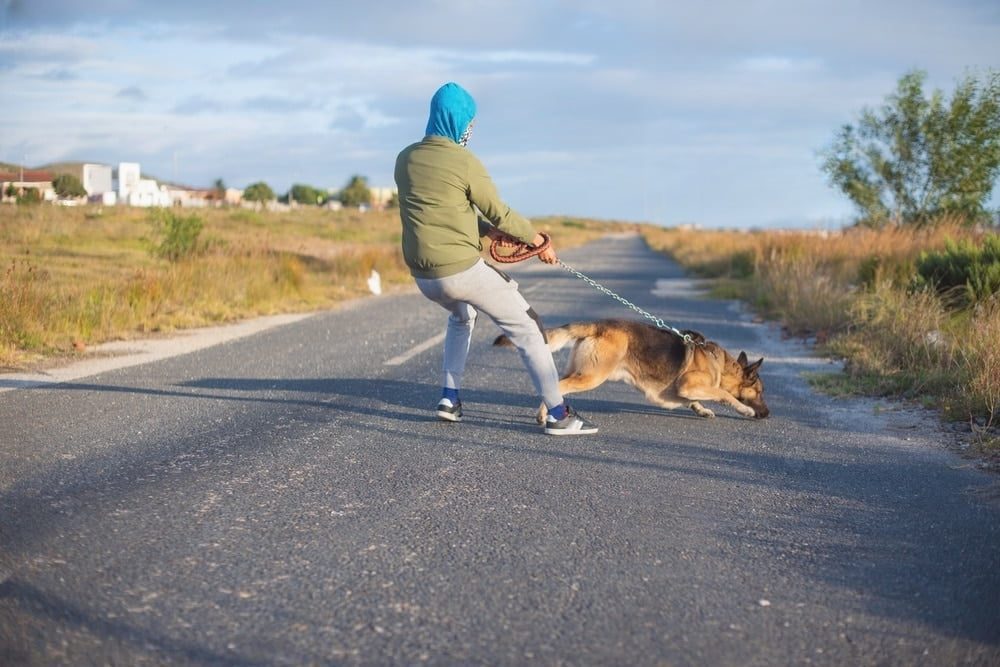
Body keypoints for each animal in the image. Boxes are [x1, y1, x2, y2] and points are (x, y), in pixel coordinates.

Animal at [496, 320, 768, 422]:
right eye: (759, 392)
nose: (767, 414)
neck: (719, 363)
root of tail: (598, 325)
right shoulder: (689, 385)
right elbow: (724, 394)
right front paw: (743, 408)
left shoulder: (688, 390)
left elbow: (695, 400)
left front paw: (701, 409)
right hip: (592, 377)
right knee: (557, 387)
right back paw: (543, 415)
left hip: (578, 372)